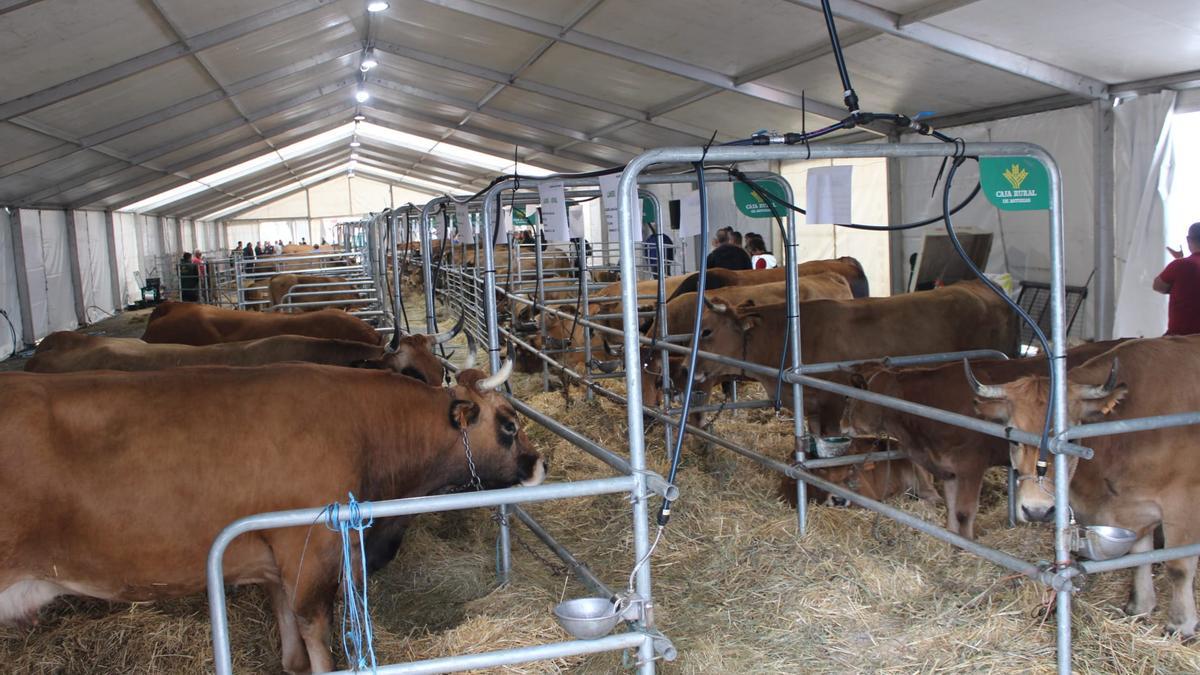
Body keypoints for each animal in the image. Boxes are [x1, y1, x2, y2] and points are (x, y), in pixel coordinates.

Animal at [0, 357, 544, 667]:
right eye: (508, 423)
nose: (540, 463)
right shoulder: (312, 551)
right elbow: (318, 640)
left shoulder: (275, 562)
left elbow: (293, 654)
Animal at [840, 338, 1128, 538]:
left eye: (848, 397)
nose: (841, 426)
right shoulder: (949, 469)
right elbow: (951, 511)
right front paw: (953, 543)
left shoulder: (970, 465)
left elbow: (964, 512)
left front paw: (967, 547)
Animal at [964, 336, 1200, 634]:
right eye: (1015, 438)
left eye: (1073, 440)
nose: (1037, 510)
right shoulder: (1133, 508)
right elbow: (1138, 557)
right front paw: (1140, 607)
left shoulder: (1184, 501)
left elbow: (1178, 566)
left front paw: (1180, 625)